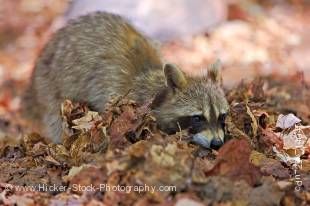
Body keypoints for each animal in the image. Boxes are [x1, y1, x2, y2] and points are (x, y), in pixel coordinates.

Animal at [23, 12, 229, 149]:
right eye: (197, 118)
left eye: (222, 116)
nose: (217, 143)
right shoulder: (112, 93)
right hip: (49, 88)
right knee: (56, 120)